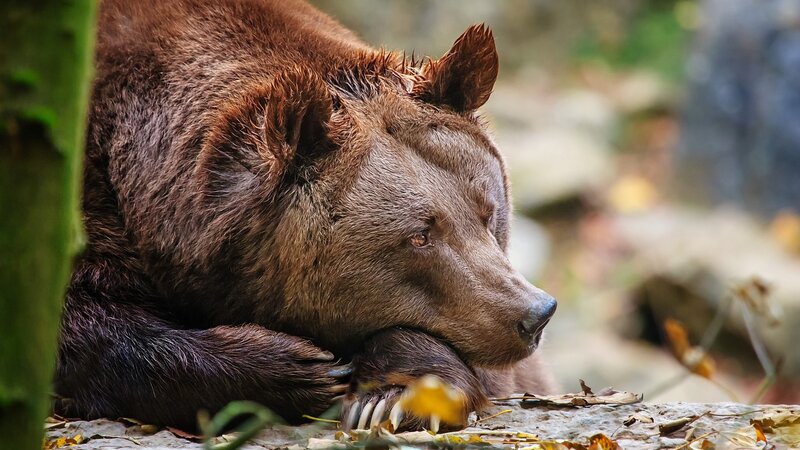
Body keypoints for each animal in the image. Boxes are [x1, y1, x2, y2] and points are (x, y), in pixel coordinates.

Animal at [54, 0, 557, 432]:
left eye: (488, 211)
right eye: (418, 236)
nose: (534, 314)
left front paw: (391, 397)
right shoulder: (88, 198)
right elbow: (86, 326)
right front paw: (300, 367)